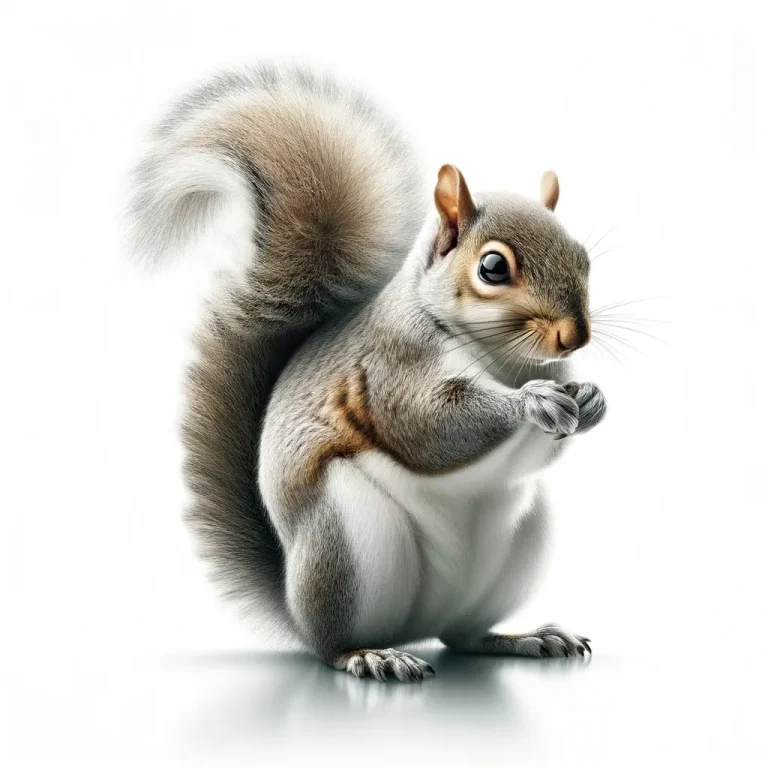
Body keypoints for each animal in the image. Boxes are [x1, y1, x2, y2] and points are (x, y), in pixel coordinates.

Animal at [126, 63, 606, 682]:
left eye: (584, 258)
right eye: (493, 268)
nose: (576, 337)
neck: (504, 357)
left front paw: (590, 398)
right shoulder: (391, 364)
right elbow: (428, 425)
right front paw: (532, 401)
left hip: (521, 545)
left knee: (464, 636)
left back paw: (523, 638)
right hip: (348, 541)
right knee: (334, 643)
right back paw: (371, 655)